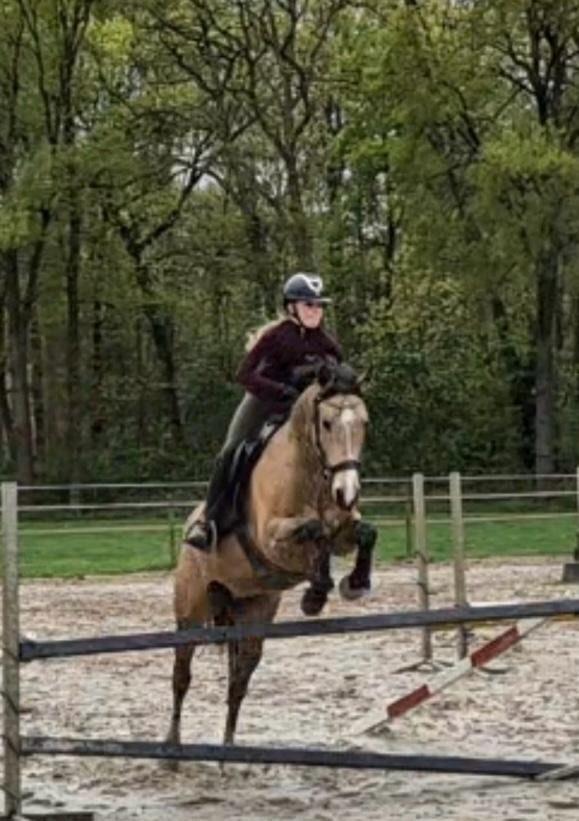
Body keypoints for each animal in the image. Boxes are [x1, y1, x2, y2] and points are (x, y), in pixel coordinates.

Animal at [166, 362, 377, 753]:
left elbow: (362, 533)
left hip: (253, 613)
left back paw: (228, 751)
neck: (312, 474)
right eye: (327, 423)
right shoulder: (270, 538)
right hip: (190, 610)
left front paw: (353, 583)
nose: (347, 493)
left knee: (238, 682)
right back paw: (171, 748)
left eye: (364, 423)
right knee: (181, 675)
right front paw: (316, 593)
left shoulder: (343, 533)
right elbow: (313, 531)